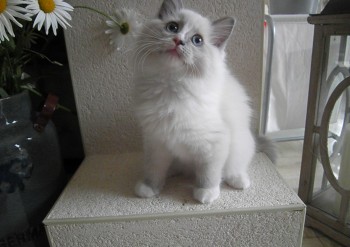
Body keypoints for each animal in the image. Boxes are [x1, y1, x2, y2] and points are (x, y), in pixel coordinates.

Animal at [134, 0, 260, 204]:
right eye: (172, 27)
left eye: (197, 40)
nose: (178, 40)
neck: (171, 87)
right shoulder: (156, 140)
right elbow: (154, 169)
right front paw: (149, 188)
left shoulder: (214, 143)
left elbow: (209, 174)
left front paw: (206, 194)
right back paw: (172, 172)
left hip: (240, 147)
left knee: (233, 168)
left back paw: (239, 181)